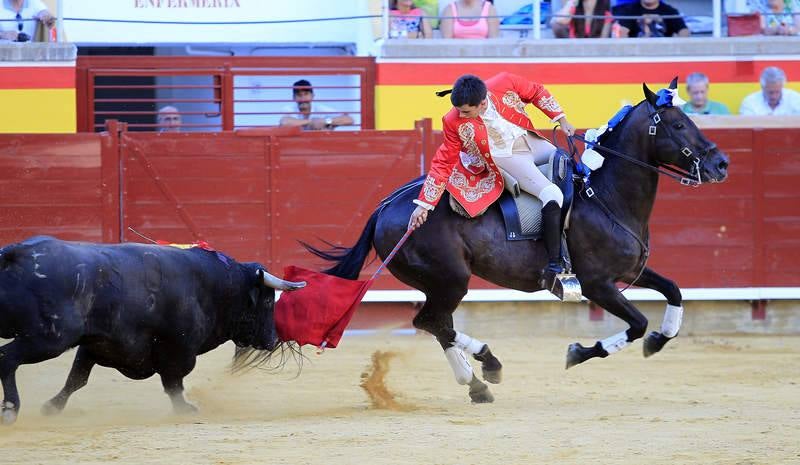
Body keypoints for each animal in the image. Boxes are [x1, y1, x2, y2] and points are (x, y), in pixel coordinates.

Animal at [0, 236, 304, 424]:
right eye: (268, 301)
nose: (273, 339)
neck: (213, 285)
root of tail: (15, 253)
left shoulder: (95, 345)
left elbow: (76, 379)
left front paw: (51, 408)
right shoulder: (179, 351)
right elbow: (174, 385)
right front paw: (186, 410)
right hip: (48, 338)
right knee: (7, 359)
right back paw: (10, 410)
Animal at [308, 80, 732, 402]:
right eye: (677, 125)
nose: (721, 164)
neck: (606, 194)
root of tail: (388, 207)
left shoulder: (631, 271)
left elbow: (674, 291)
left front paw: (660, 339)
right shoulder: (597, 284)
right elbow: (638, 323)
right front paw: (579, 352)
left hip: (439, 283)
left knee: (437, 323)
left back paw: (477, 383)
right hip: (450, 279)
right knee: (430, 320)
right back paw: (487, 366)